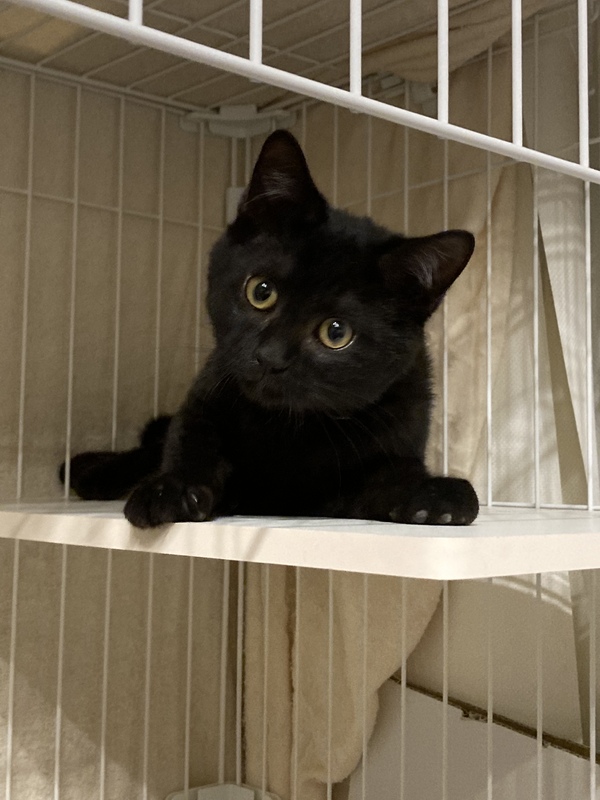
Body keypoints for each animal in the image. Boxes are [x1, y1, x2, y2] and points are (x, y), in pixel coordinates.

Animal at [62, 129, 479, 529]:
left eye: (337, 333)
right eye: (261, 292)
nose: (270, 357)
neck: (285, 428)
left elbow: (391, 477)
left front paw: (436, 495)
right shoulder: (206, 396)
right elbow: (190, 441)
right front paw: (170, 490)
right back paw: (88, 470)